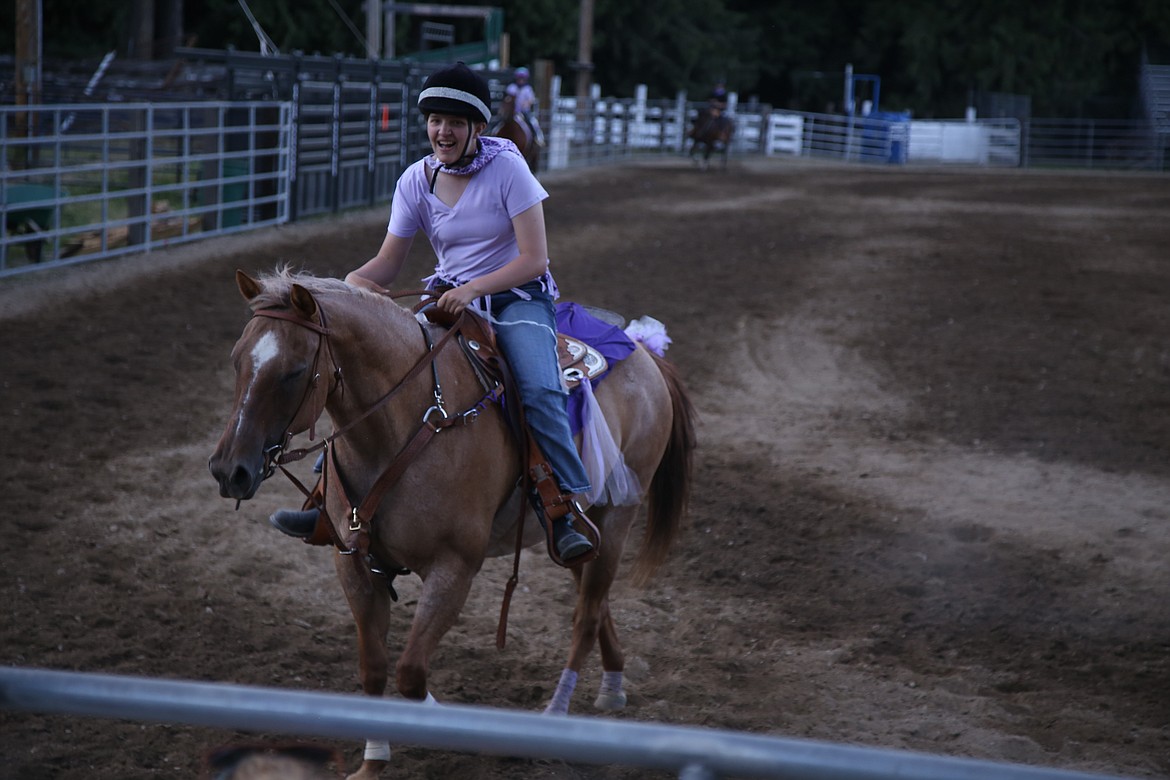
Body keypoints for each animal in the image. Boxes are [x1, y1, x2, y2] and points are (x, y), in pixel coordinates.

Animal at [210, 270, 692, 780]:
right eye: (236, 360)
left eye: (294, 371)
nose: (228, 470)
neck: (407, 423)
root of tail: (644, 352)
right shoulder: (354, 565)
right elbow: (374, 669)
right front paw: (372, 764)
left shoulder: (453, 569)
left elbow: (409, 674)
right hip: (577, 534)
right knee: (595, 602)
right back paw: (613, 684)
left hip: (617, 513)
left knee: (585, 616)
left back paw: (555, 716)